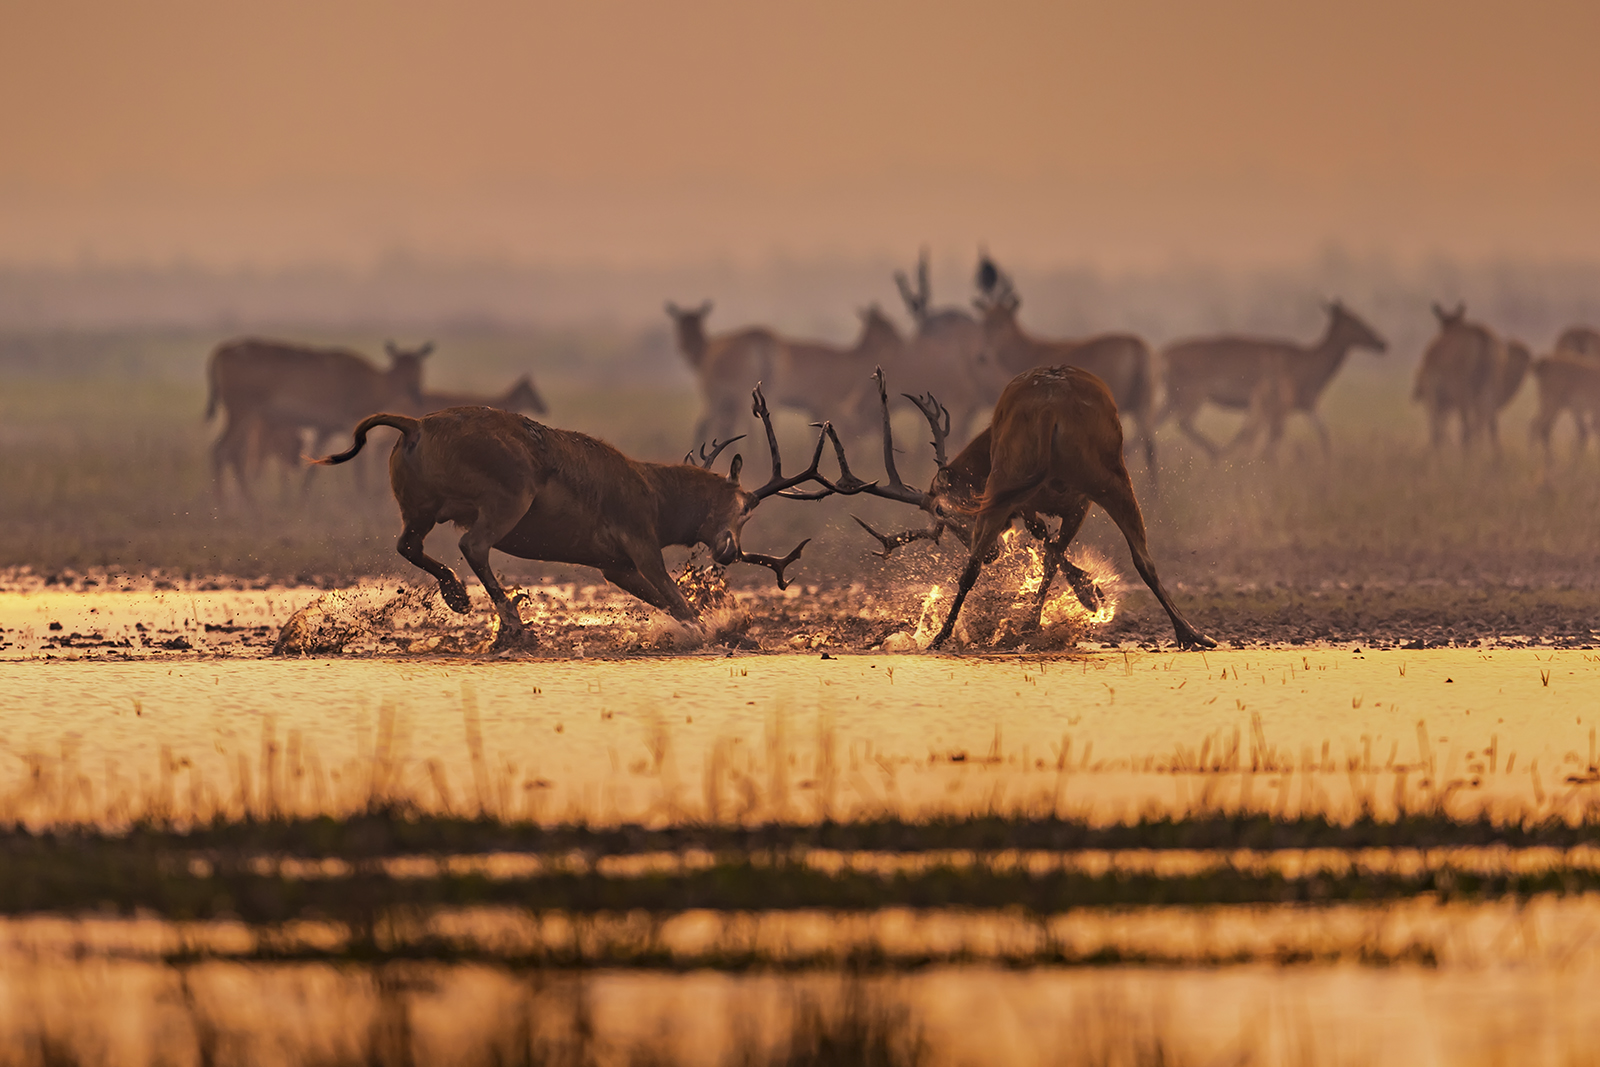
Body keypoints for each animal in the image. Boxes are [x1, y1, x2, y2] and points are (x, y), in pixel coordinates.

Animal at [313, 385, 838, 646]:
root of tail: (416, 425)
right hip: (507, 500)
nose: (731, 551)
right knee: (472, 544)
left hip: (422, 509)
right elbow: (681, 605)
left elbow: (668, 604)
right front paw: (718, 633)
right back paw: (513, 625)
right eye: (747, 505)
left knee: (407, 544)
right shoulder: (642, 547)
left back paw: (459, 597)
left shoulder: (613, 566)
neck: (656, 493)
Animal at [832, 367, 1203, 652]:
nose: (994, 553)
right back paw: (1191, 634)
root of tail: (1050, 412)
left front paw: (1089, 592)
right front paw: (1089, 592)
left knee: (973, 568)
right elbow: (1049, 547)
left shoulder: (1029, 503)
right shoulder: (1057, 503)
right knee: (1142, 558)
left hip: (1020, 481)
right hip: (1102, 478)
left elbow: (1046, 545)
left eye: (942, 512)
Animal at [1152, 299, 1388, 460]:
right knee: (1182, 422)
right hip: (1192, 394)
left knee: (1153, 423)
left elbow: (1324, 435)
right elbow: (1270, 444)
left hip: (1173, 397)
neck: (1312, 371)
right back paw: (1217, 453)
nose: (1382, 343)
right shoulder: (1281, 406)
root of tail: (1162, 356)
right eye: (1355, 320)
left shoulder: (1307, 404)